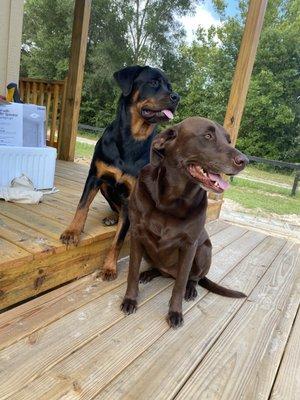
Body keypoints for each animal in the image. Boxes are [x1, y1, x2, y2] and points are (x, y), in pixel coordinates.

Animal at [59, 64, 179, 280]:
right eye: (154, 82)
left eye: (170, 87)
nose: (177, 97)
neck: (132, 139)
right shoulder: (95, 176)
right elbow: (82, 206)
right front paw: (72, 232)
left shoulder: (132, 195)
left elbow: (118, 240)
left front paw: (109, 267)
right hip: (107, 187)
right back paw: (112, 218)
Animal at [121, 116, 248, 328]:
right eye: (208, 136)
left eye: (229, 140)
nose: (244, 160)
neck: (171, 200)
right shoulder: (137, 235)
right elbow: (132, 272)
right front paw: (130, 299)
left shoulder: (189, 245)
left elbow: (179, 285)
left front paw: (175, 312)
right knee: (159, 270)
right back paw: (149, 273)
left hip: (204, 250)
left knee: (194, 277)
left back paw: (191, 289)